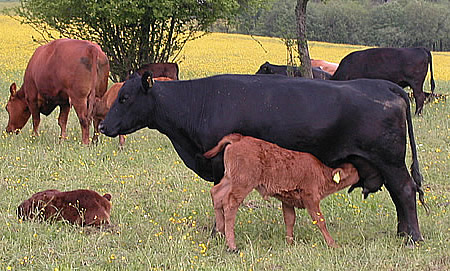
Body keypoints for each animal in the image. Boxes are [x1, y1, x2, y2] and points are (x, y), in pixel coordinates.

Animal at [206, 133, 360, 251]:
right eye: (354, 169)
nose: (361, 175)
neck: (322, 173)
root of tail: (239, 138)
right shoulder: (311, 198)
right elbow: (320, 220)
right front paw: (333, 244)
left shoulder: (287, 200)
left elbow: (290, 219)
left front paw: (290, 243)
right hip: (242, 185)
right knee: (230, 204)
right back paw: (232, 246)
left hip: (229, 179)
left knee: (216, 194)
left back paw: (219, 235)